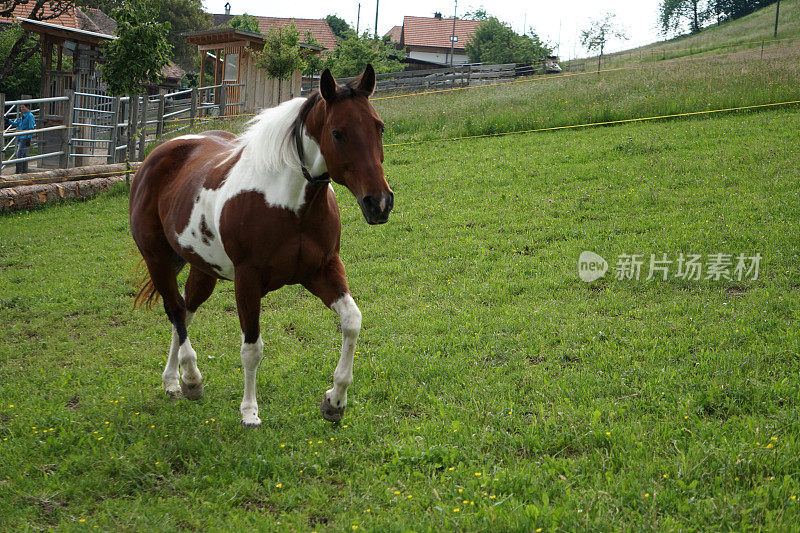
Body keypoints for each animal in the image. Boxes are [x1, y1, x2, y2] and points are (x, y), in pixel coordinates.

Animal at [129, 65, 394, 424]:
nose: (379, 203)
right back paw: (192, 379)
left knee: (184, 310)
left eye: (378, 127)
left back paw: (173, 381)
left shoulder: (323, 270)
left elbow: (352, 322)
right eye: (338, 133)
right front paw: (249, 411)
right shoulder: (248, 281)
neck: (289, 205)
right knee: (174, 310)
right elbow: (252, 348)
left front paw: (335, 401)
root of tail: (157, 154)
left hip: (203, 269)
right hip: (157, 259)